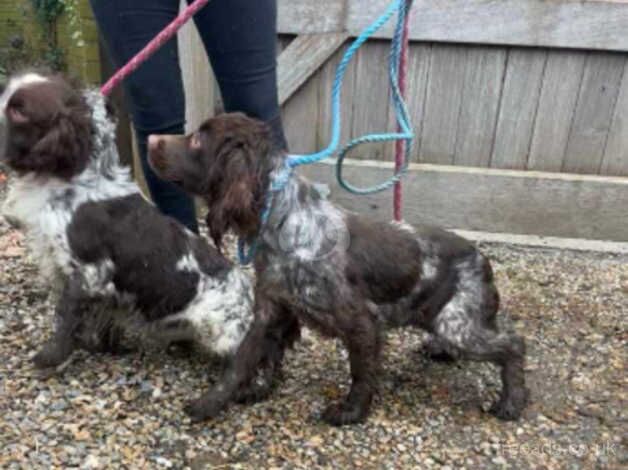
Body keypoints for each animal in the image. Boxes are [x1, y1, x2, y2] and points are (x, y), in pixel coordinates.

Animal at [148, 114, 528, 426]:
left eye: (198, 140)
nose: (151, 139)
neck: (287, 224)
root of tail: (481, 258)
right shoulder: (271, 309)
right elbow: (244, 362)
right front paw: (215, 401)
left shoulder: (362, 323)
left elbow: (360, 374)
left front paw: (350, 413)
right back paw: (441, 351)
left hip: (458, 325)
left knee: (514, 344)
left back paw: (511, 402)